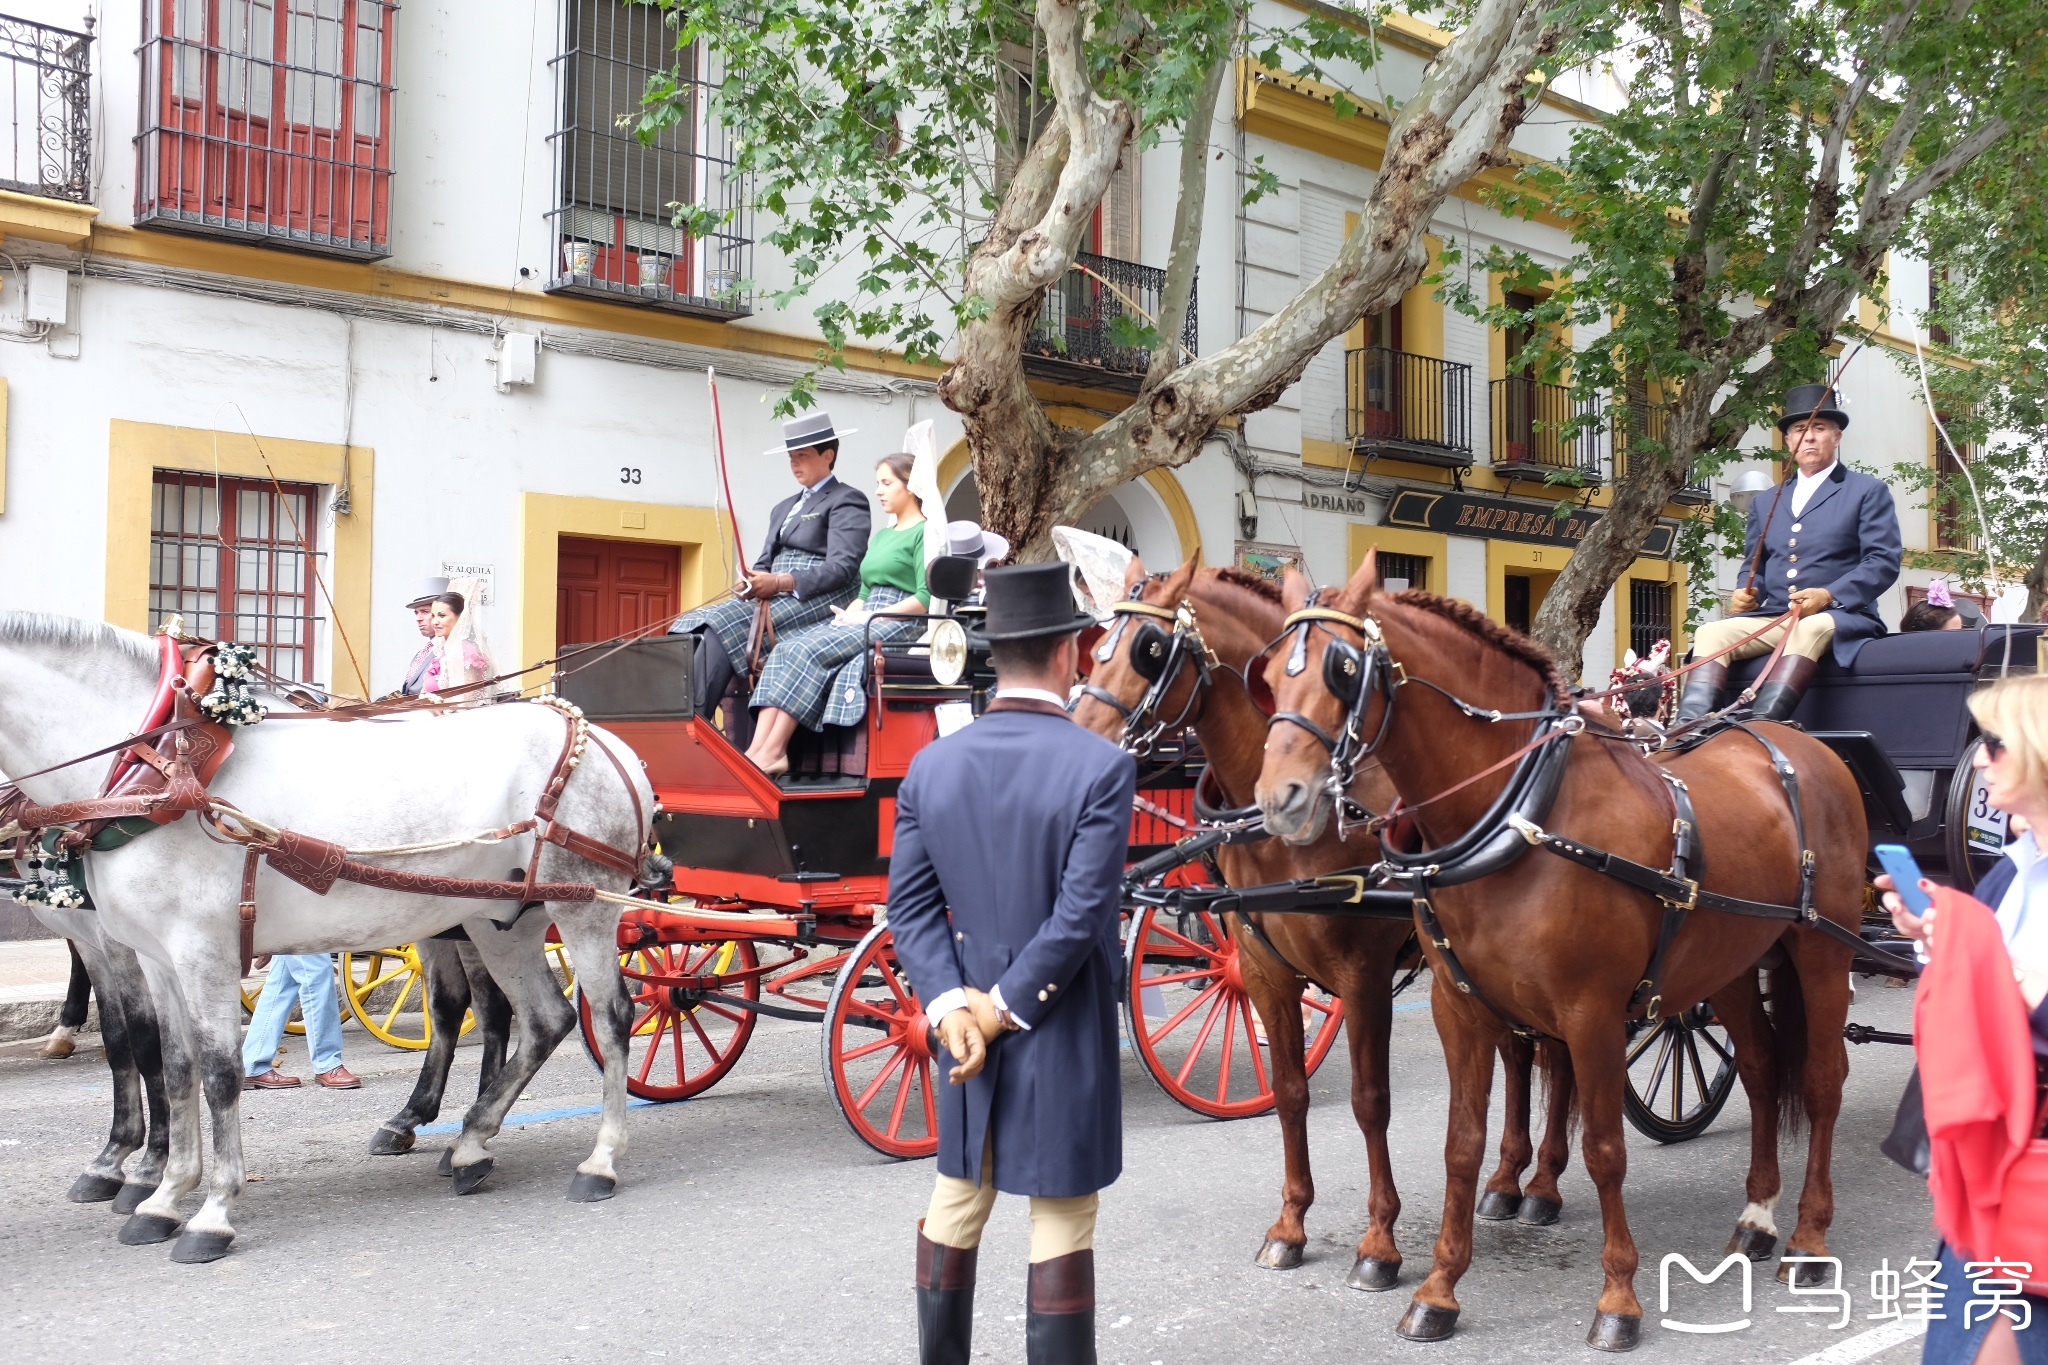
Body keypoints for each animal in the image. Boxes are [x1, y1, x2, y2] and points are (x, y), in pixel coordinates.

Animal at [0, 613, 643, 1268]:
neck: (154, 766)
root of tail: (604, 741)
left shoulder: (202, 951)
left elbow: (219, 1072)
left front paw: (211, 1210)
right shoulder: (155, 957)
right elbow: (175, 1067)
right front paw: (164, 1196)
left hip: (585, 907)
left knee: (610, 1016)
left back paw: (600, 1160)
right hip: (500, 921)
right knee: (541, 1019)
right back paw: (468, 1144)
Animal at [1064, 556, 1572, 1293]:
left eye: (1147, 650)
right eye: (1097, 643)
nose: (1077, 736)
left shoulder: (1361, 977)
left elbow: (1369, 1100)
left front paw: (1380, 1242)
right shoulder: (1263, 972)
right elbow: (1289, 1092)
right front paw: (1291, 1224)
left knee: (1557, 1052)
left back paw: (1545, 1183)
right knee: (1521, 1051)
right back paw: (1508, 1178)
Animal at [1245, 548, 1875, 1350]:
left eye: (1344, 668)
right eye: (1268, 675)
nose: (1280, 799)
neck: (1523, 814)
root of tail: (1798, 744)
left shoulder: (1592, 1013)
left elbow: (1606, 1150)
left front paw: (1618, 1298)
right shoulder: (1460, 1008)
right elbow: (1462, 1144)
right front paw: (1439, 1287)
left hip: (1821, 949)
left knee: (1822, 1081)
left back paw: (1808, 1237)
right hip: (1729, 960)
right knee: (1763, 1070)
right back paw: (1756, 1218)